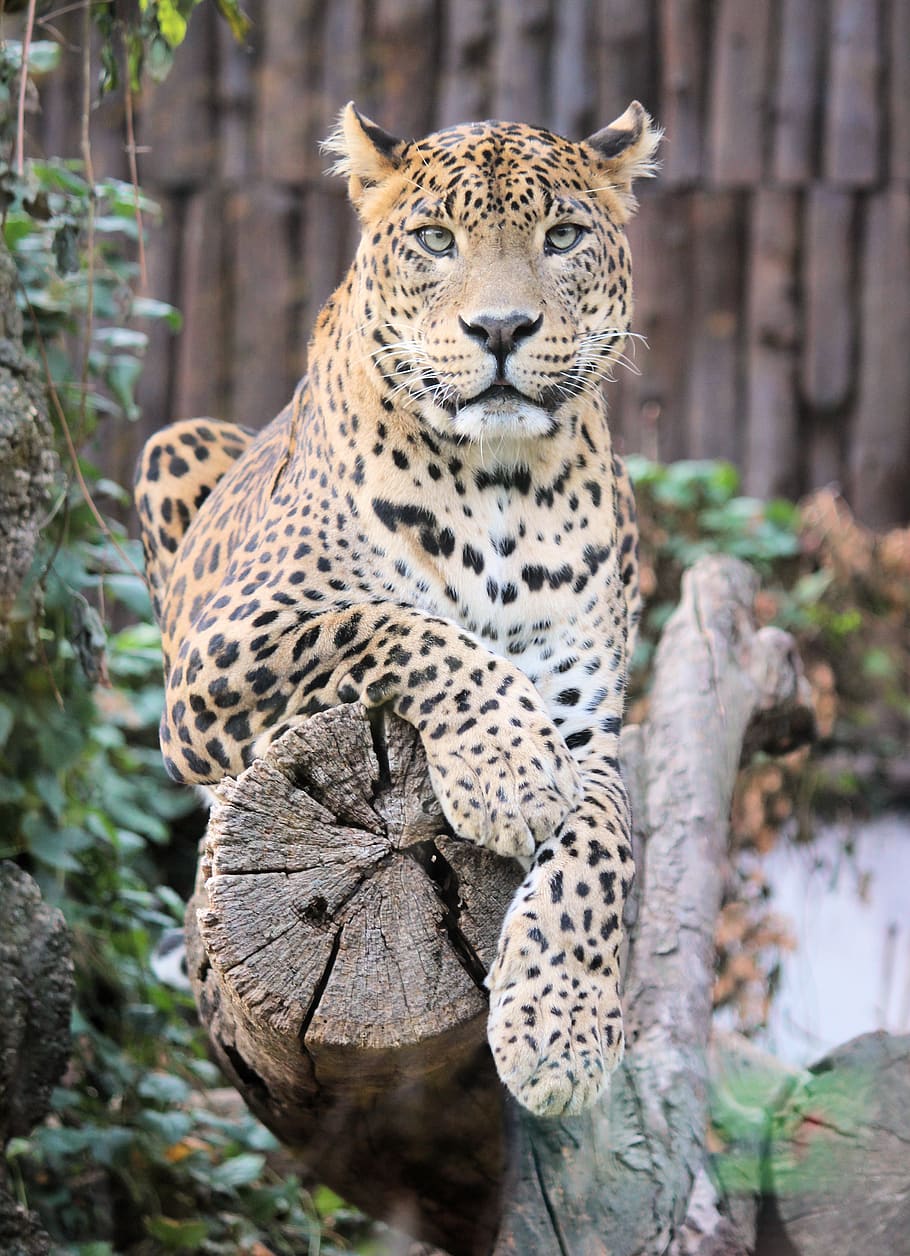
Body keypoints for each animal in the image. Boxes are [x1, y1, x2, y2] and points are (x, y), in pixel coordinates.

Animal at [134, 99, 660, 1118]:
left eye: (563, 237)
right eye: (435, 239)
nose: (501, 327)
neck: (501, 486)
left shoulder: (590, 729)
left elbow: (600, 849)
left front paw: (561, 1033)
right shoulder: (217, 663)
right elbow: (394, 626)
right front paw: (508, 772)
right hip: (173, 444)